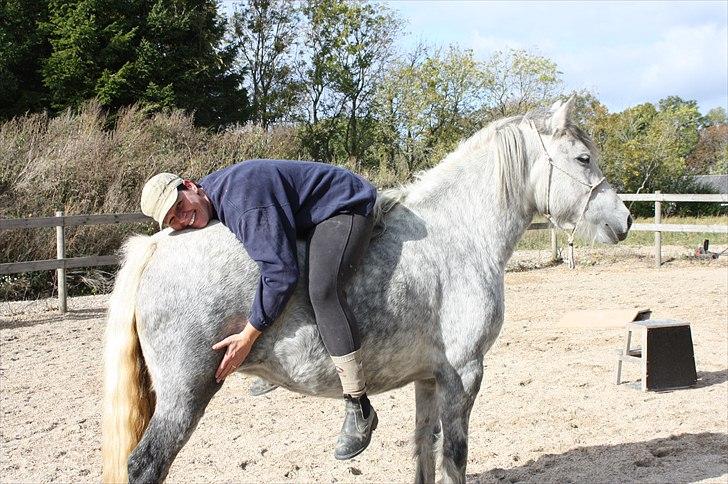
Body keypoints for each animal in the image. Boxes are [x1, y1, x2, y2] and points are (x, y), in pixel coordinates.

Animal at [102, 98, 632, 484]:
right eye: (583, 158)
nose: (625, 220)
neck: (459, 232)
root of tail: (155, 245)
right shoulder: (464, 373)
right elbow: (454, 457)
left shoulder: (430, 377)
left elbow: (424, 451)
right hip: (185, 395)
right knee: (145, 465)